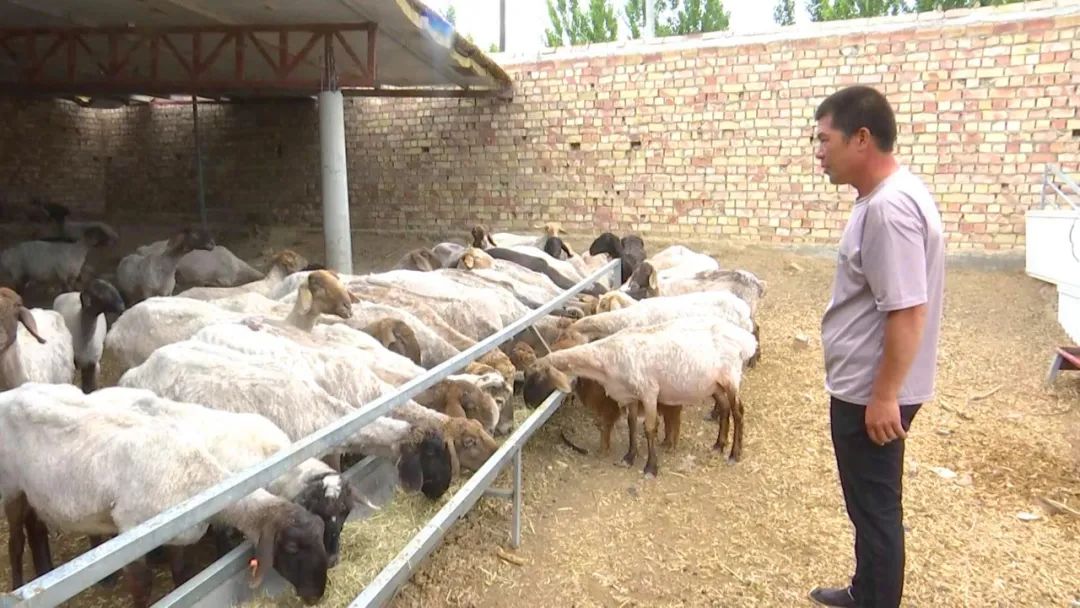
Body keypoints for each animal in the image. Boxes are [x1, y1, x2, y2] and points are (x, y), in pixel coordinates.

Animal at [0, 383, 329, 606]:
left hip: (32, 493)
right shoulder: (130, 529)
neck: (199, 481)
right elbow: (141, 585)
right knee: (15, 541)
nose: (316, 595)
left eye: (322, 534)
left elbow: (181, 574)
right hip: (11, 488)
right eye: (292, 547)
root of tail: (12, 392)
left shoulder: (177, 533)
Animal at [522, 317, 758, 477]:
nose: (527, 403)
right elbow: (632, 424)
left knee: (738, 411)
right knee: (725, 408)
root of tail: (746, 339)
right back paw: (718, 445)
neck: (606, 358)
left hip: (731, 377)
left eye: (535, 376)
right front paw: (629, 457)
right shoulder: (630, 396)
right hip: (714, 384)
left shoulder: (649, 392)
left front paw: (651, 468)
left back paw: (734, 454)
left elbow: (649, 428)